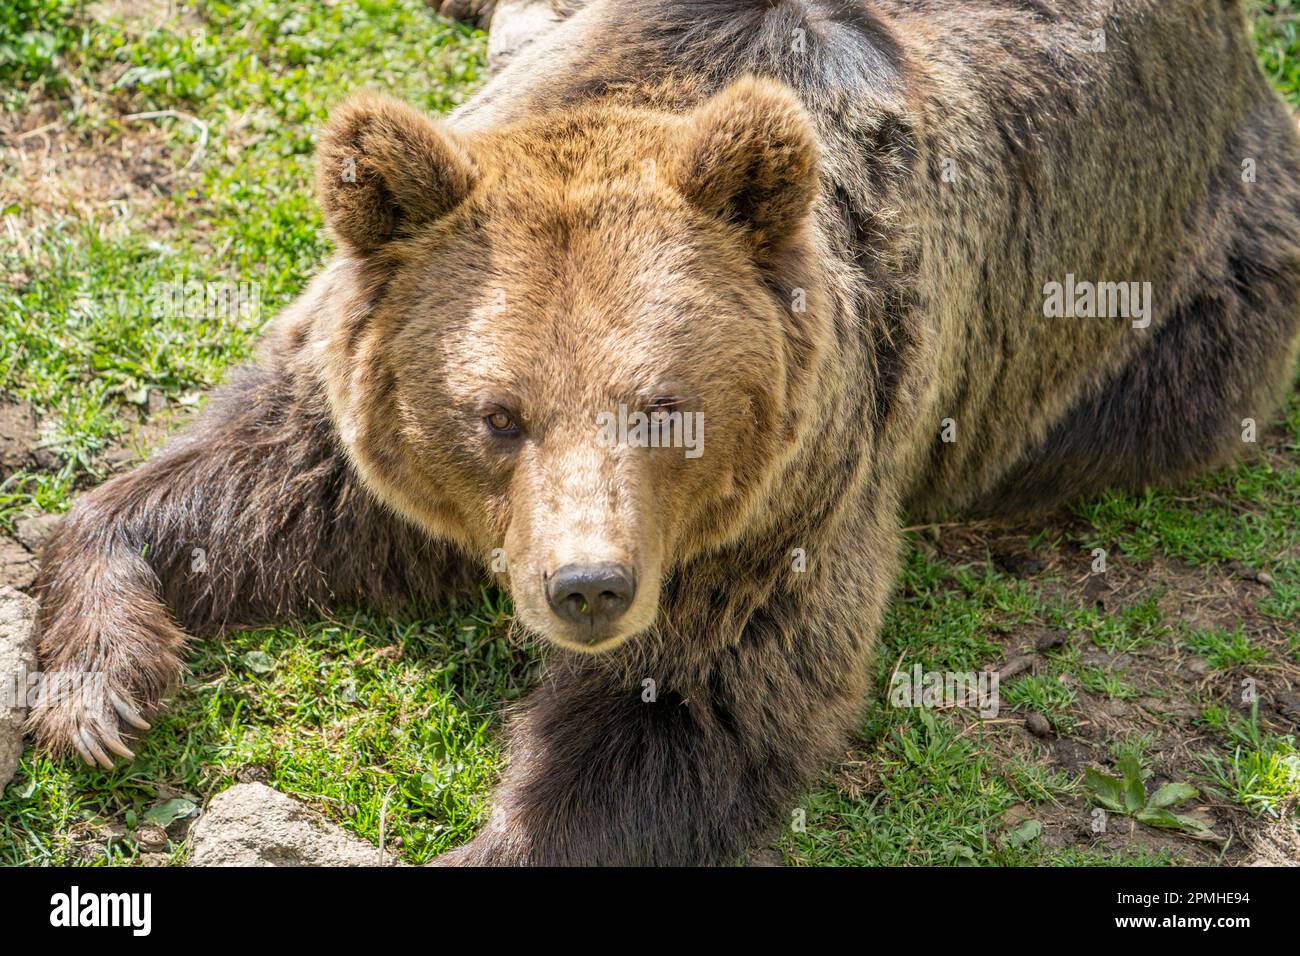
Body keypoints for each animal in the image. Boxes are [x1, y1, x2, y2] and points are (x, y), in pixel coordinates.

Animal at [22, 0, 1300, 868]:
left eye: (664, 405)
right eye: (497, 414)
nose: (587, 583)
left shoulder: (791, 496)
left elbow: (694, 707)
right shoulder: (359, 393)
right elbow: (244, 483)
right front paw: (95, 690)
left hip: (1185, 297)